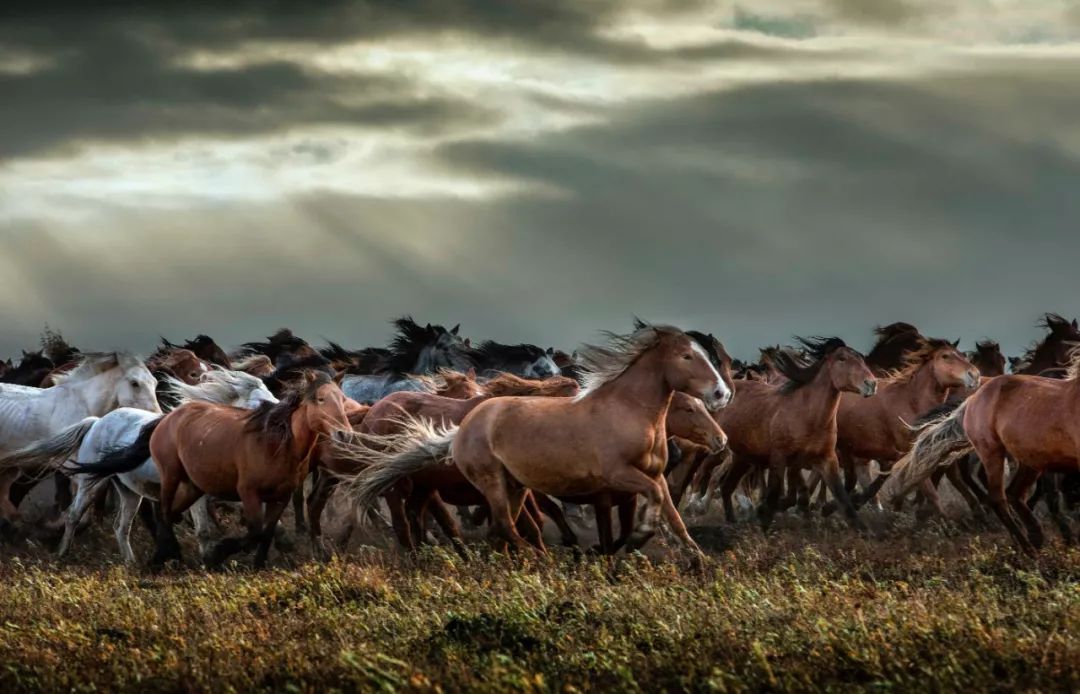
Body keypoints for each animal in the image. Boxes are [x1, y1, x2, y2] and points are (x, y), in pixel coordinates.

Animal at [0, 369, 278, 565]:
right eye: (260, 402)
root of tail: (97, 422)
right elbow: (202, 529)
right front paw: (203, 559)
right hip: (91, 483)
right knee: (73, 515)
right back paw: (62, 554)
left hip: (129, 492)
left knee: (121, 527)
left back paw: (130, 562)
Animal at [343, 325, 734, 565]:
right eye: (687, 357)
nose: (722, 394)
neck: (627, 412)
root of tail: (464, 428)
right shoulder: (617, 477)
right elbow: (640, 509)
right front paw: (636, 538)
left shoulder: (648, 478)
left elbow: (671, 513)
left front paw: (698, 559)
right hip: (483, 483)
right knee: (497, 523)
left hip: (508, 486)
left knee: (497, 526)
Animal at [708, 338, 876, 528]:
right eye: (842, 358)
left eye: (861, 359)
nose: (871, 384)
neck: (808, 416)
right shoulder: (780, 458)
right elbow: (774, 496)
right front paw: (764, 520)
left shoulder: (826, 459)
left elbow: (843, 497)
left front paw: (861, 528)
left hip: (742, 456)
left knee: (727, 487)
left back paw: (732, 521)